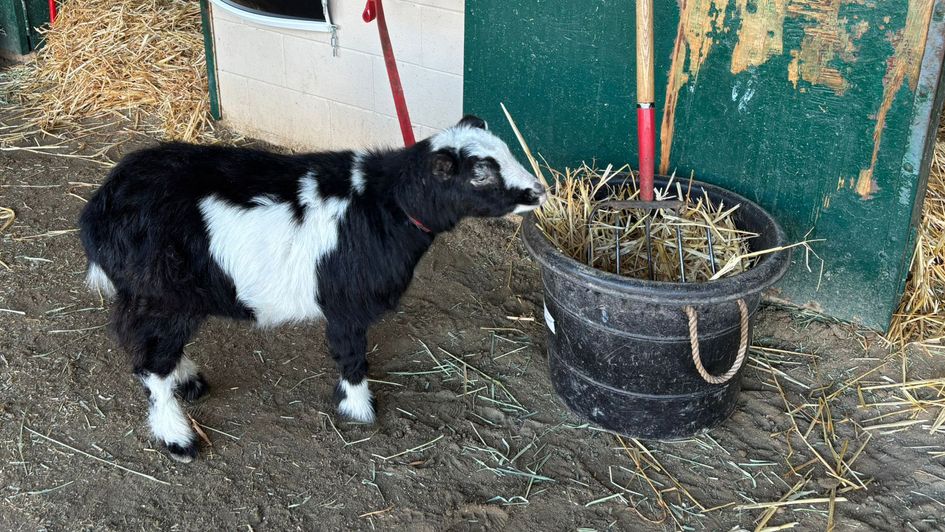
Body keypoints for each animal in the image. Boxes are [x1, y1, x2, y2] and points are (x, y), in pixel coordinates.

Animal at [78, 115, 546, 462]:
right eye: (481, 174)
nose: (538, 191)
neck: (385, 204)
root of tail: (99, 212)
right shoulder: (346, 304)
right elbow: (351, 355)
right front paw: (359, 409)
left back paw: (188, 380)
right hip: (164, 295)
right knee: (149, 362)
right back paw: (177, 437)